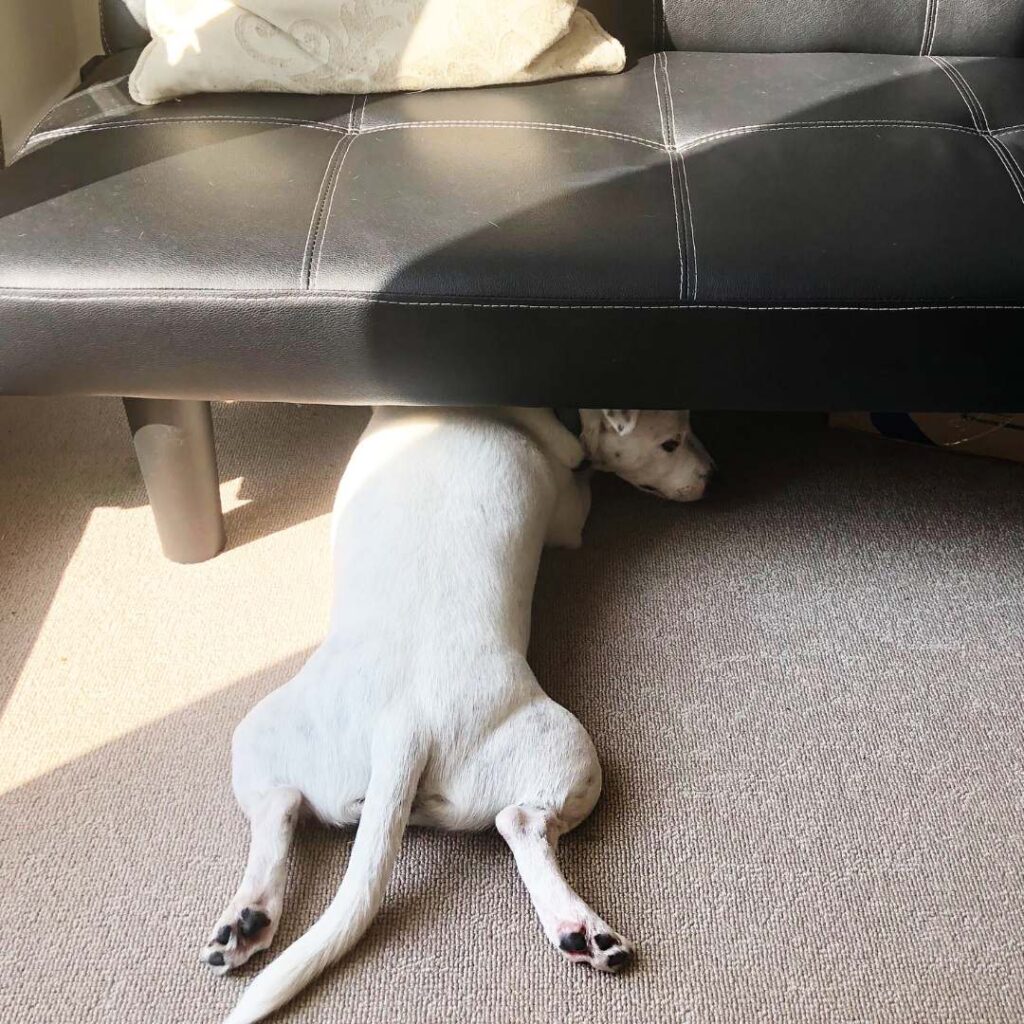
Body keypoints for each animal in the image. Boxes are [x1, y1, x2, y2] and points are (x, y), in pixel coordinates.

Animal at [199, 407, 712, 1024]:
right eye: (670, 441)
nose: (712, 475)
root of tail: (403, 725)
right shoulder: (569, 515)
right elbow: (583, 485)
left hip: (259, 732)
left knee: (277, 804)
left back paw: (246, 919)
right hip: (570, 750)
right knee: (522, 821)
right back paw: (582, 928)